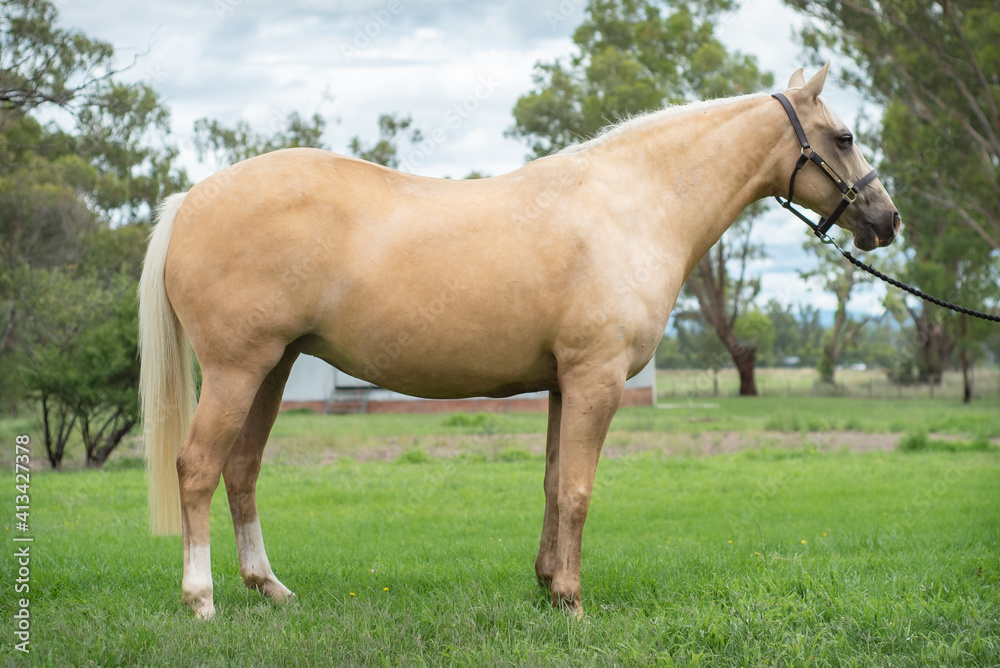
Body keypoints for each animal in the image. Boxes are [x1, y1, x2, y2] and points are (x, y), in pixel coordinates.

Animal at [139, 63, 900, 620]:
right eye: (843, 136)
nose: (886, 219)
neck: (630, 205)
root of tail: (192, 198)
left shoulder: (564, 383)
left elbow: (553, 483)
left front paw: (546, 583)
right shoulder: (596, 379)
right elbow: (580, 489)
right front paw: (573, 601)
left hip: (274, 368)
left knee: (242, 471)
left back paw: (269, 588)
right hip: (237, 370)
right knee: (198, 468)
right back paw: (201, 600)